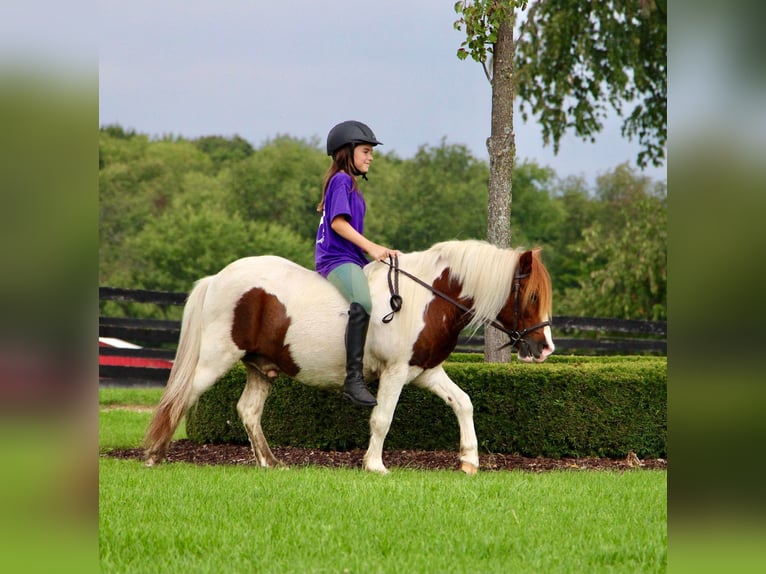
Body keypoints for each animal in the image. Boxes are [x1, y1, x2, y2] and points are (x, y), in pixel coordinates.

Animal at [144, 240, 556, 476]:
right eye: (533, 296)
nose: (546, 349)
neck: (429, 297)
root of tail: (216, 278)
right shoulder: (394, 373)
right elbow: (382, 419)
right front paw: (374, 466)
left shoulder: (424, 371)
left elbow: (464, 403)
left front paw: (470, 461)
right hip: (216, 359)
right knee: (179, 398)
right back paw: (153, 455)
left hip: (260, 368)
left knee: (248, 410)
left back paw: (270, 463)